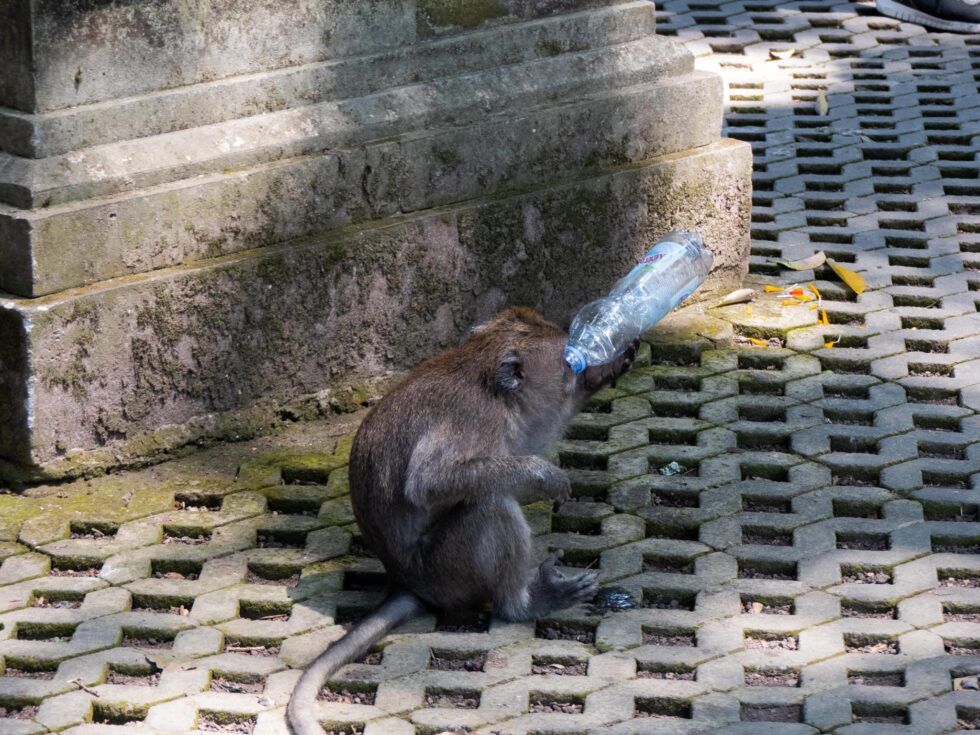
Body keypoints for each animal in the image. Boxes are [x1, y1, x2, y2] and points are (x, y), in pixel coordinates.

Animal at [286, 306, 636, 735]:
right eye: (566, 360)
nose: (580, 365)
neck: (486, 380)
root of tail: (406, 581)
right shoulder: (476, 419)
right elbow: (430, 482)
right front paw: (545, 475)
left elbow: (530, 437)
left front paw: (608, 368)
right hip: (449, 569)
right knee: (491, 505)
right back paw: (523, 604)